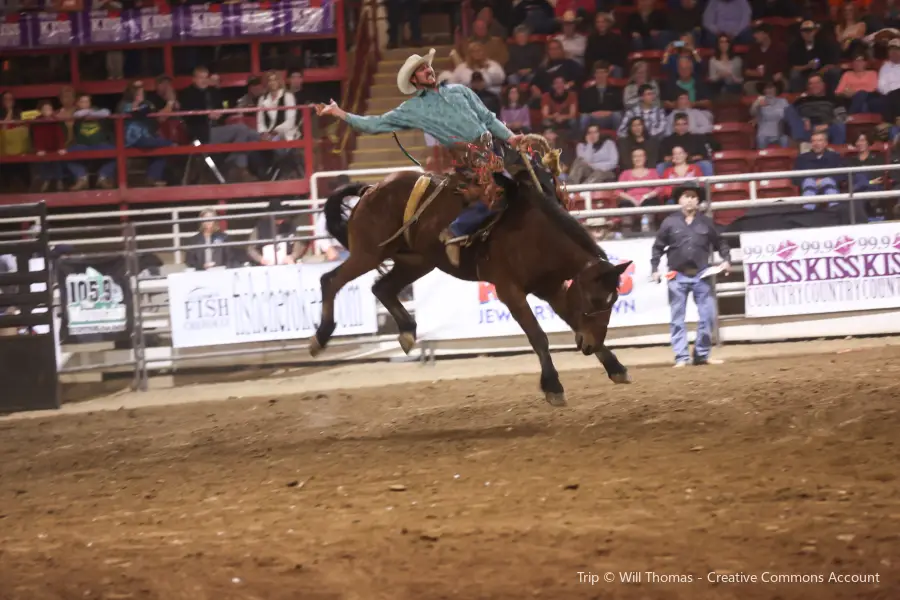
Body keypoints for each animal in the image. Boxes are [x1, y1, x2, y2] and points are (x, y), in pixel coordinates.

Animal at [310, 138, 632, 406]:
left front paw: (615, 367)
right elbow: (538, 336)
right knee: (331, 280)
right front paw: (553, 386)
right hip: (368, 253)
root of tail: (371, 189)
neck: (538, 235)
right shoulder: (510, 291)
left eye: (613, 301)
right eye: (594, 300)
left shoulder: (552, 288)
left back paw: (408, 333)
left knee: (382, 288)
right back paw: (320, 338)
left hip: (417, 261)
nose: (589, 346)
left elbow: (573, 321)